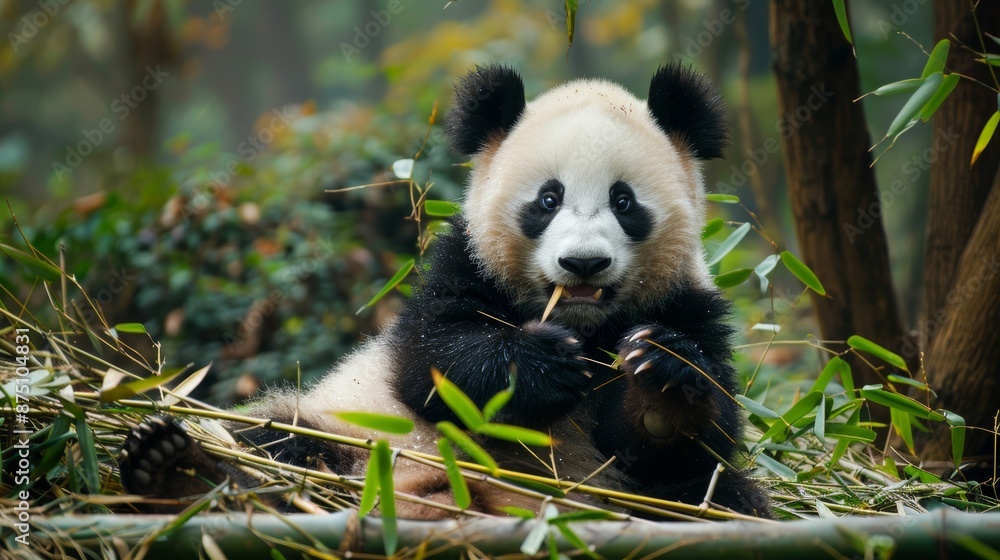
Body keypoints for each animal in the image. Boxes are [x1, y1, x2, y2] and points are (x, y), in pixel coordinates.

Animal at [119, 63, 771, 519]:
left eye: (624, 201)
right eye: (548, 198)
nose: (583, 263)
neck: (586, 323)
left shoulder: (687, 300)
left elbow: (701, 437)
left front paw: (660, 377)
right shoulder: (461, 269)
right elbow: (435, 365)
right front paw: (541, 363)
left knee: (716, 498)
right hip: (344, 432)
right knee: (271, 442)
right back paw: (178, 471)